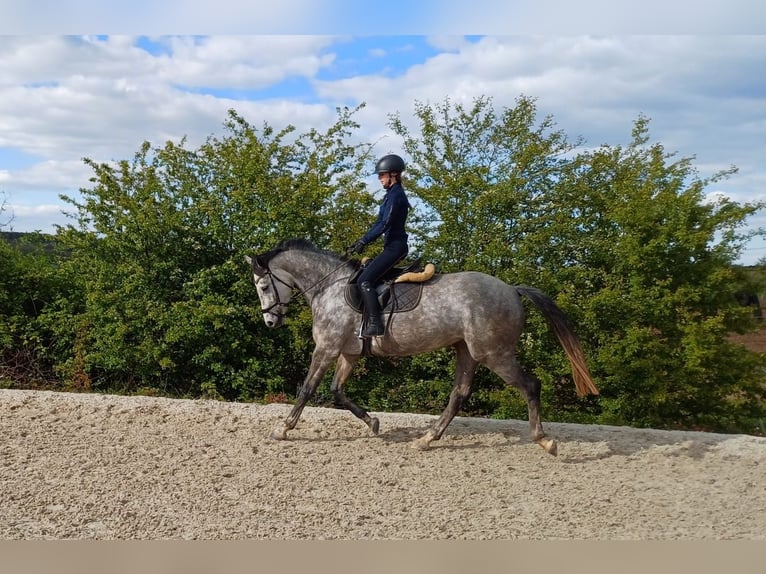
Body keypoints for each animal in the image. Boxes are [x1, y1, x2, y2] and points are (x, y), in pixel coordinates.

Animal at [246, 238, 600, 454]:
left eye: (263, 285)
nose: (270, 322)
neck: (328, 287)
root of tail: (512, 289)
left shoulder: (328, 349)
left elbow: (307, 389)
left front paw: (283, 429)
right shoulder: (348, 352)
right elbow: (337, 392)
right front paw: (373, 423)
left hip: (493, 353)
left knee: (530, 386)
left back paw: (545, 441)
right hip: (466, 351)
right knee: (459, 395)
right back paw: (428, 438)